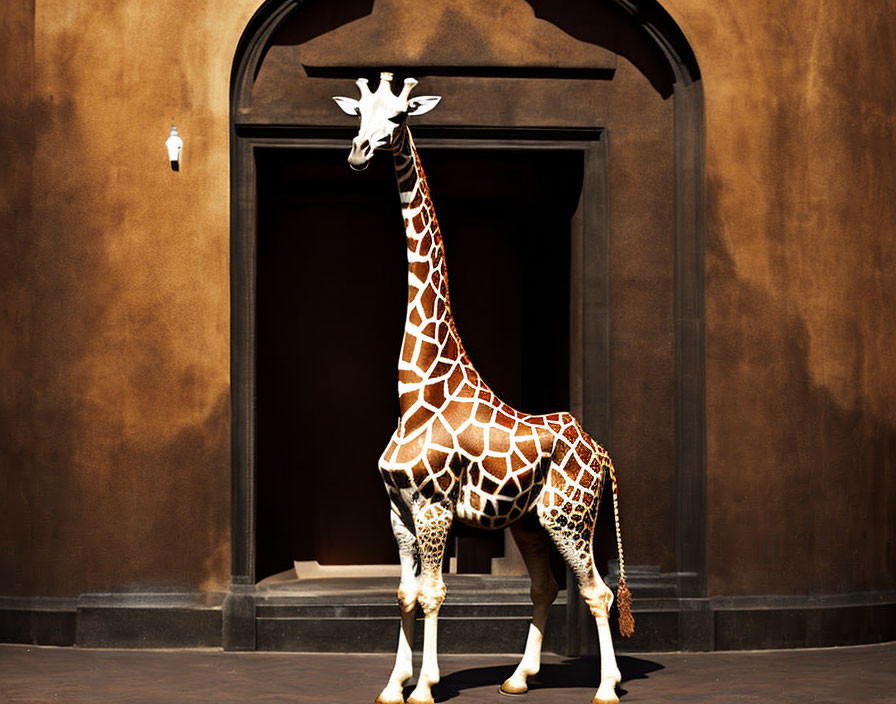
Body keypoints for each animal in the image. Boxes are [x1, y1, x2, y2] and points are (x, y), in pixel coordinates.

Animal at [332, 73, 632, 704]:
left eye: (399, 116)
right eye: (359, 115)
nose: (359, 152)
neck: (417, 389)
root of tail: (603, 453)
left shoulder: (434, 506)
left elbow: (433, 594)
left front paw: (424, 687)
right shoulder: (397, 508)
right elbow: (404, 593)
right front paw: (394, 685)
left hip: (571, 518)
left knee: (596, 591)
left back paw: (606, 686)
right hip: (529, 522)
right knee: (546, 586)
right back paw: (520, 678)